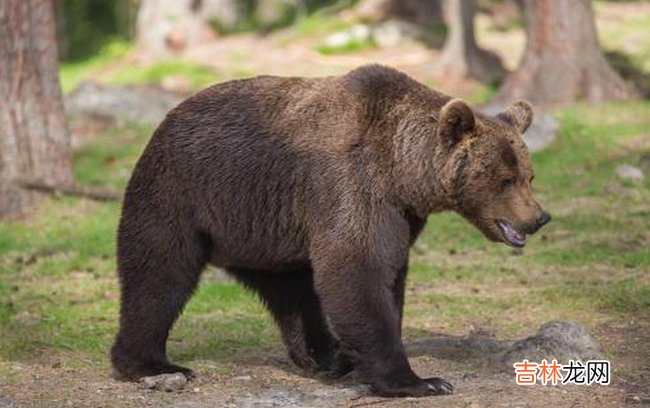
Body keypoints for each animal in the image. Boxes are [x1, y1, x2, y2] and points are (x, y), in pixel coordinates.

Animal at [110, 65, 548, 396]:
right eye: (504, 179)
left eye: (528, 175)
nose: (538, 217)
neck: (403, 172)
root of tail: (166, 120)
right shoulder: (352, 185)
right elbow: (356, 270)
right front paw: (421, 381)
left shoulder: (401, 214)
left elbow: (388, 275)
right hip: (182, 194)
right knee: (160, 275)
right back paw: (152, 364)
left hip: (266, 231)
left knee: (293, 291)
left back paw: (326, 356)